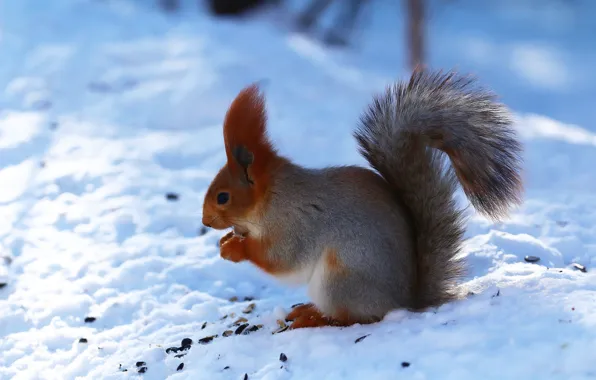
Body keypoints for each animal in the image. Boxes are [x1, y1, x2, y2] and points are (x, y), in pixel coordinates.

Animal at [203, 69, 524, 330]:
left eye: (223, 197)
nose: (205, 221)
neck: (271, 198)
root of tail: (404, 301)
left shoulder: (296, 223)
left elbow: (280, 259)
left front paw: (235, 248)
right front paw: (226, 240)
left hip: (339, 279)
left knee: (354, 317)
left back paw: (316, 318)